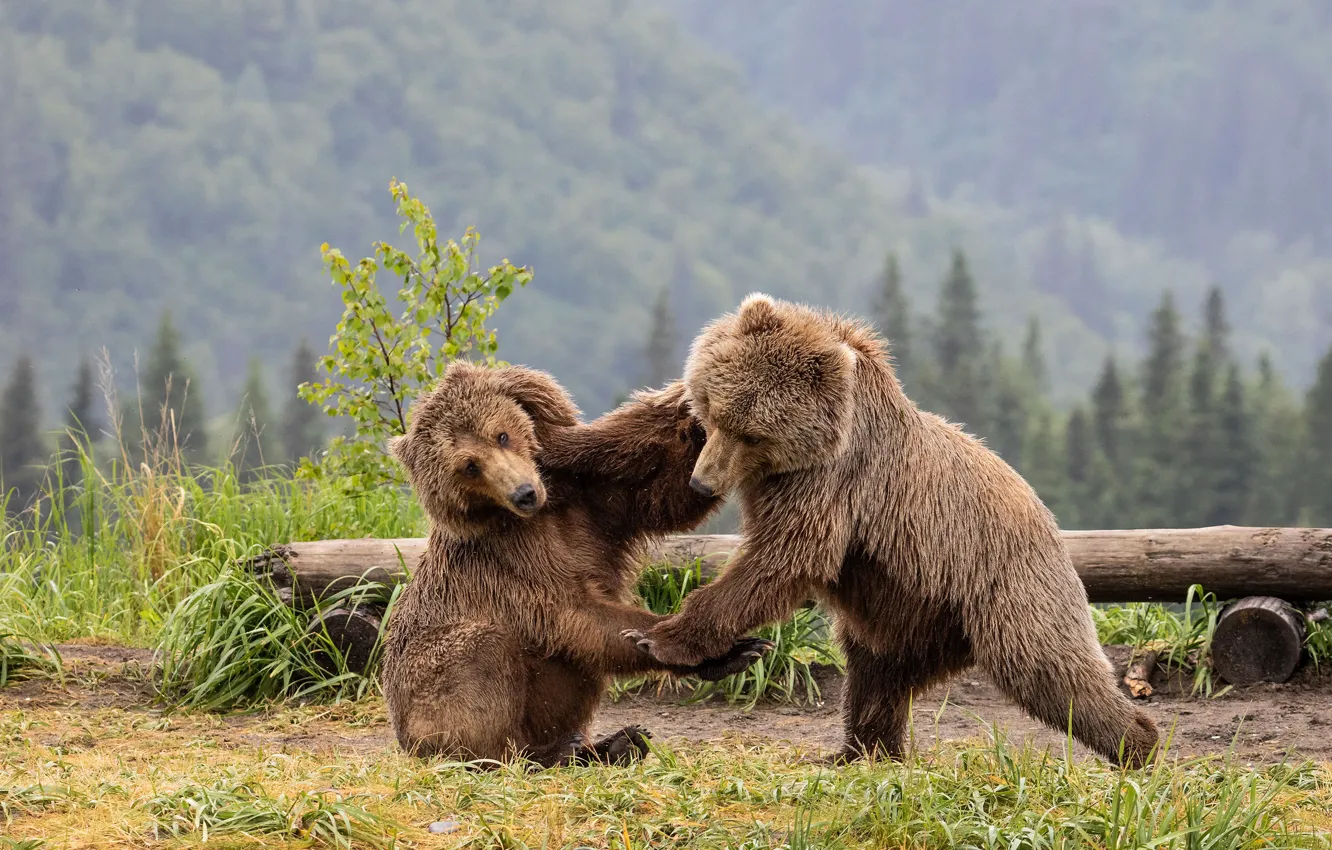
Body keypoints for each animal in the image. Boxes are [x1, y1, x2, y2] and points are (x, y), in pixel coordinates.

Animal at [380, 362, 767, 767]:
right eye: (470, 466)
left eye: (501, 435)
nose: (523, 494)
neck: (545, 509)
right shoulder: (513, 559)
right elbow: (577, 615)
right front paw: (725, 649)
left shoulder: (589, 503)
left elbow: (663, 499)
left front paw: (700, 418)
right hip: (423, 684)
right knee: (482, 661)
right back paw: (552, 750)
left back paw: (616, 743)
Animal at [623, 295, 1156, 767]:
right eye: (716, 411)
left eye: (753, 434)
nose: (702, 480)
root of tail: (1049, 522)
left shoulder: (831, 480)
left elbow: (785, 556)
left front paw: (660, 637)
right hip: (907, 608)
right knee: (876, 672)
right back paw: (859, 750)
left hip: (1000, 584)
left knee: (1048, 668)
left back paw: (1139, 745)